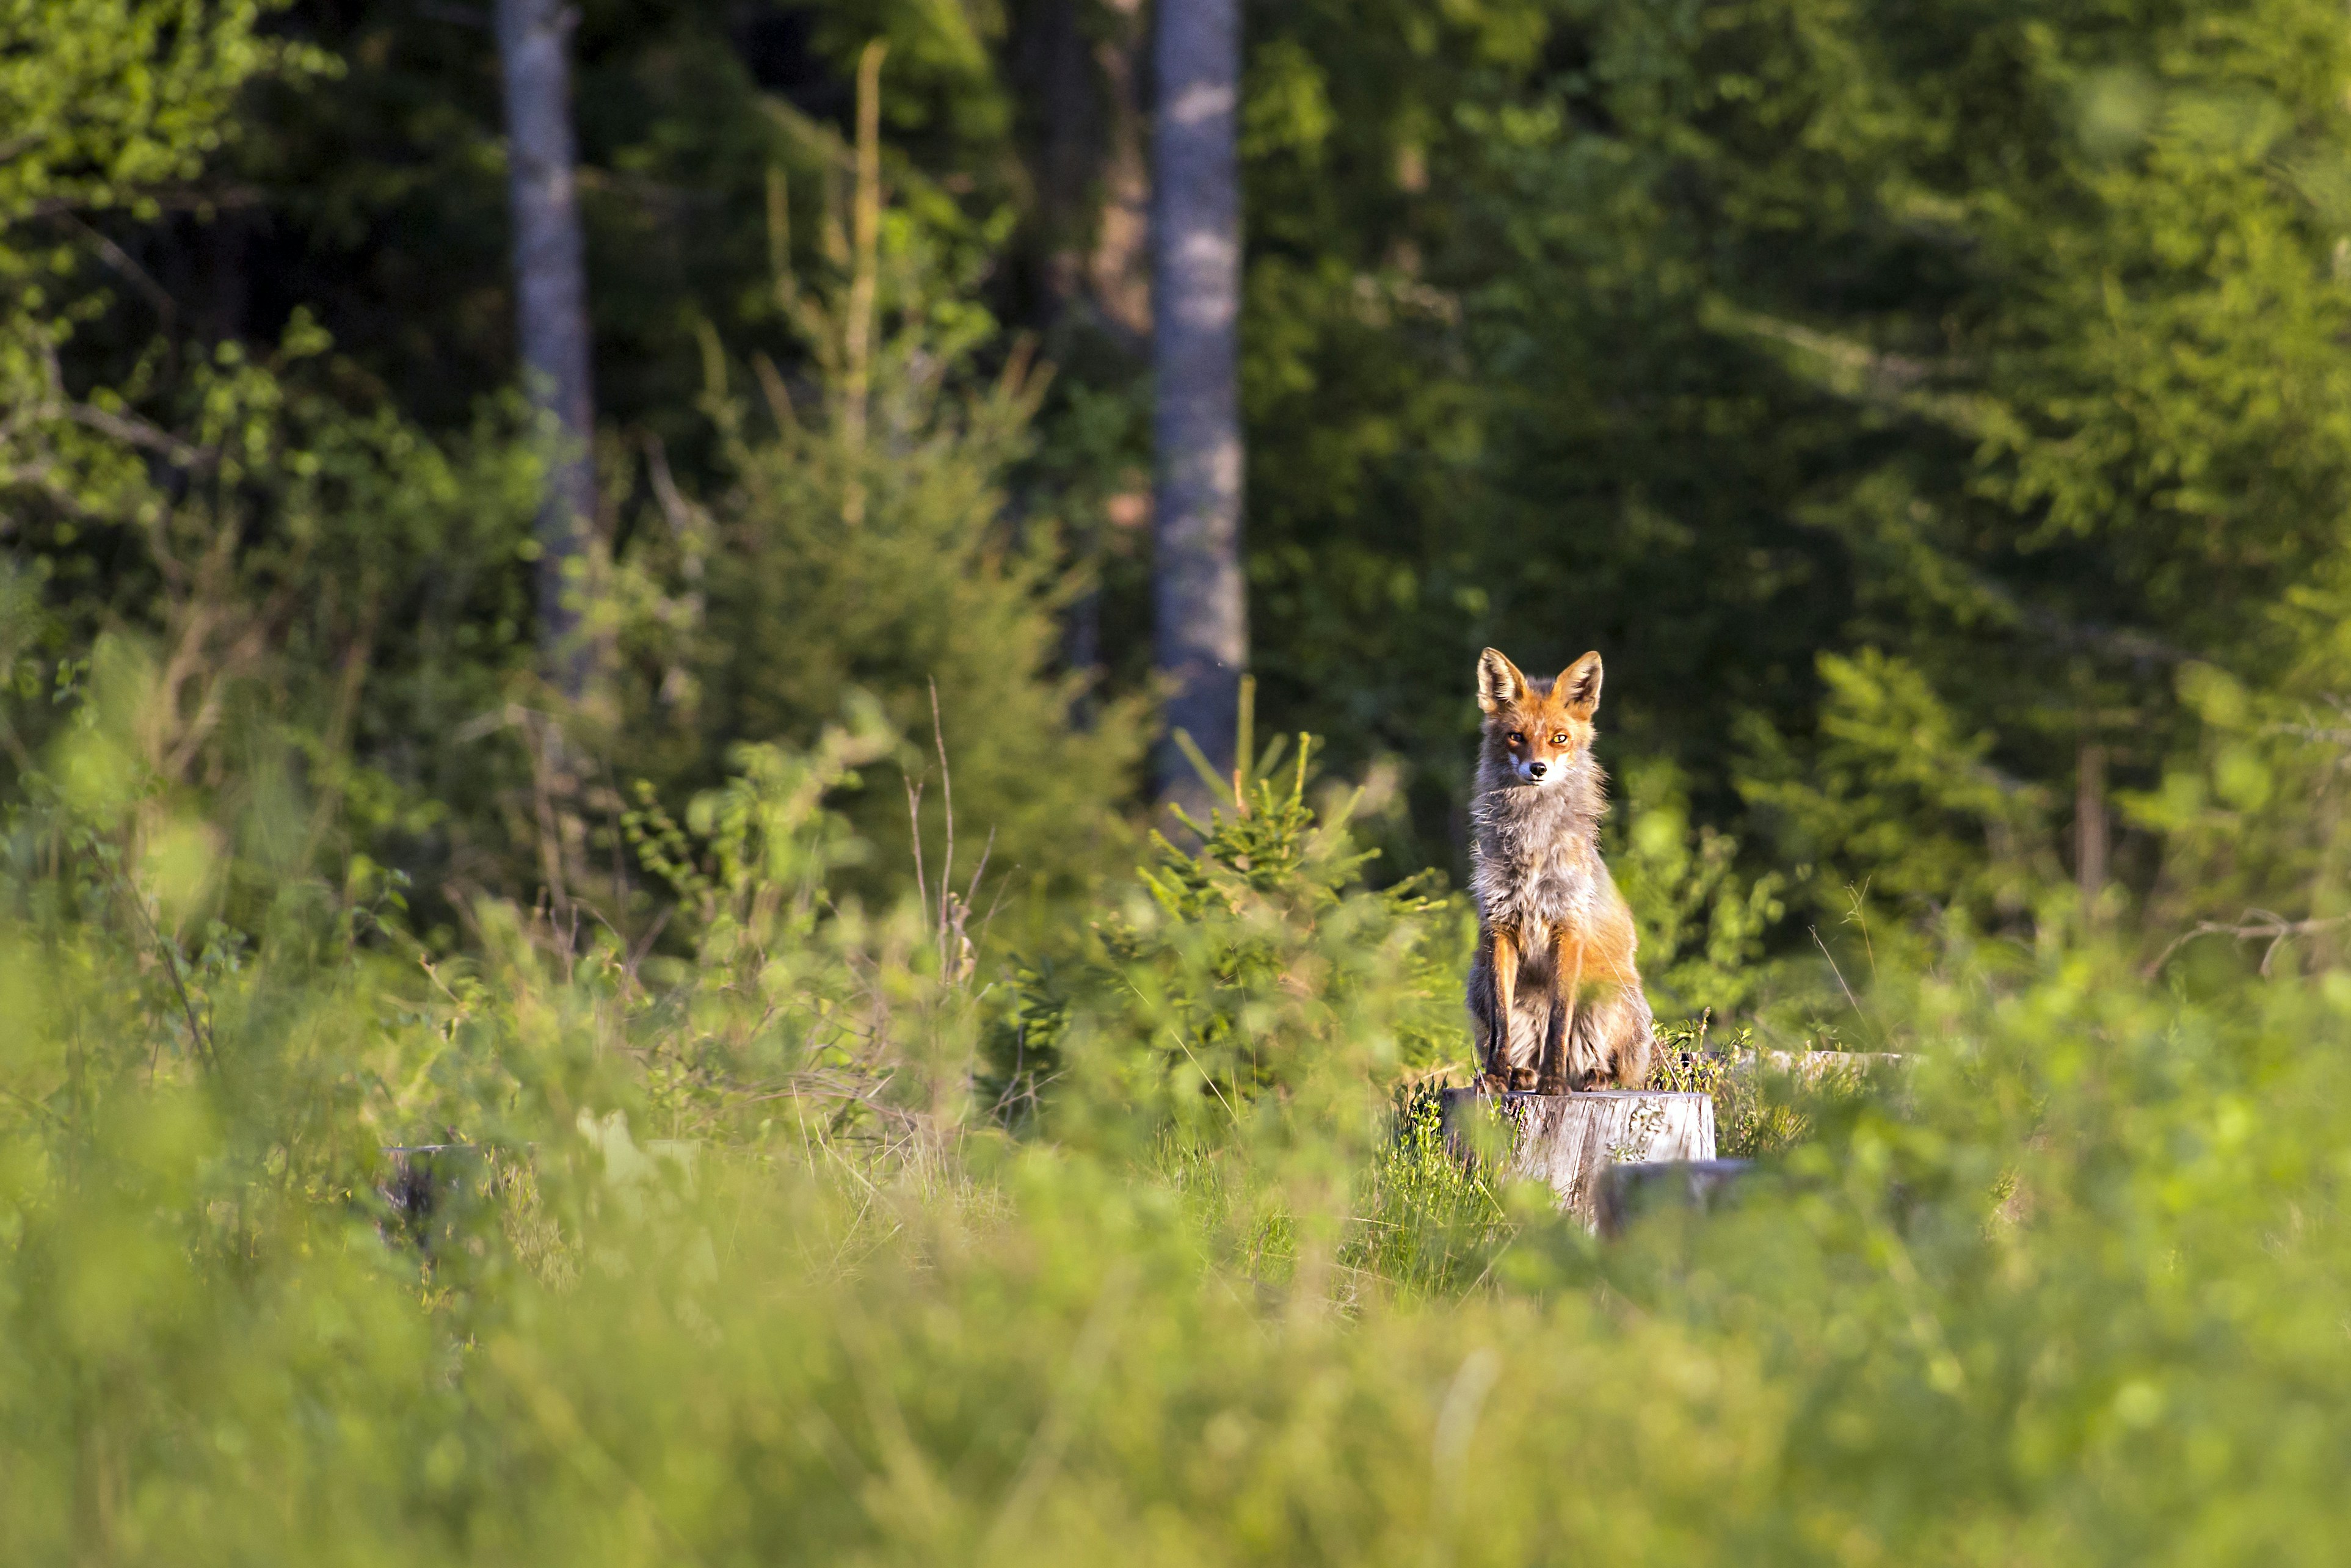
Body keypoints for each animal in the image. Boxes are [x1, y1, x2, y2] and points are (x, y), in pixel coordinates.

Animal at [1466, 646, 1654, 1094]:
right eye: (1516, 736)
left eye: (1560, 738)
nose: (1538, 769)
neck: (1533, 848)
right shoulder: (1500, 926)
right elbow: (1502, 1023)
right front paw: (1497, 1076)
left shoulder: (1568, 927)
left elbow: (1559, 1021)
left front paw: (1554, 1083)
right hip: (1477, 981)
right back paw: (1520, 1073)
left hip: (1610, 997)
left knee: (1621, 1070)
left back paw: (1593, 1076)